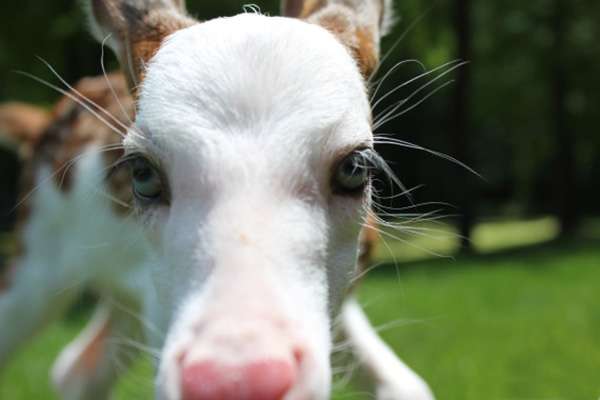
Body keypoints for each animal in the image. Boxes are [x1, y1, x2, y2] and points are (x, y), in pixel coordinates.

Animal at [0, 0, 436, 400]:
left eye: (355, 167)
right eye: (142, 173)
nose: (237, 381)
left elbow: (408, 385)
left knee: (78, 368)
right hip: (36, 257)